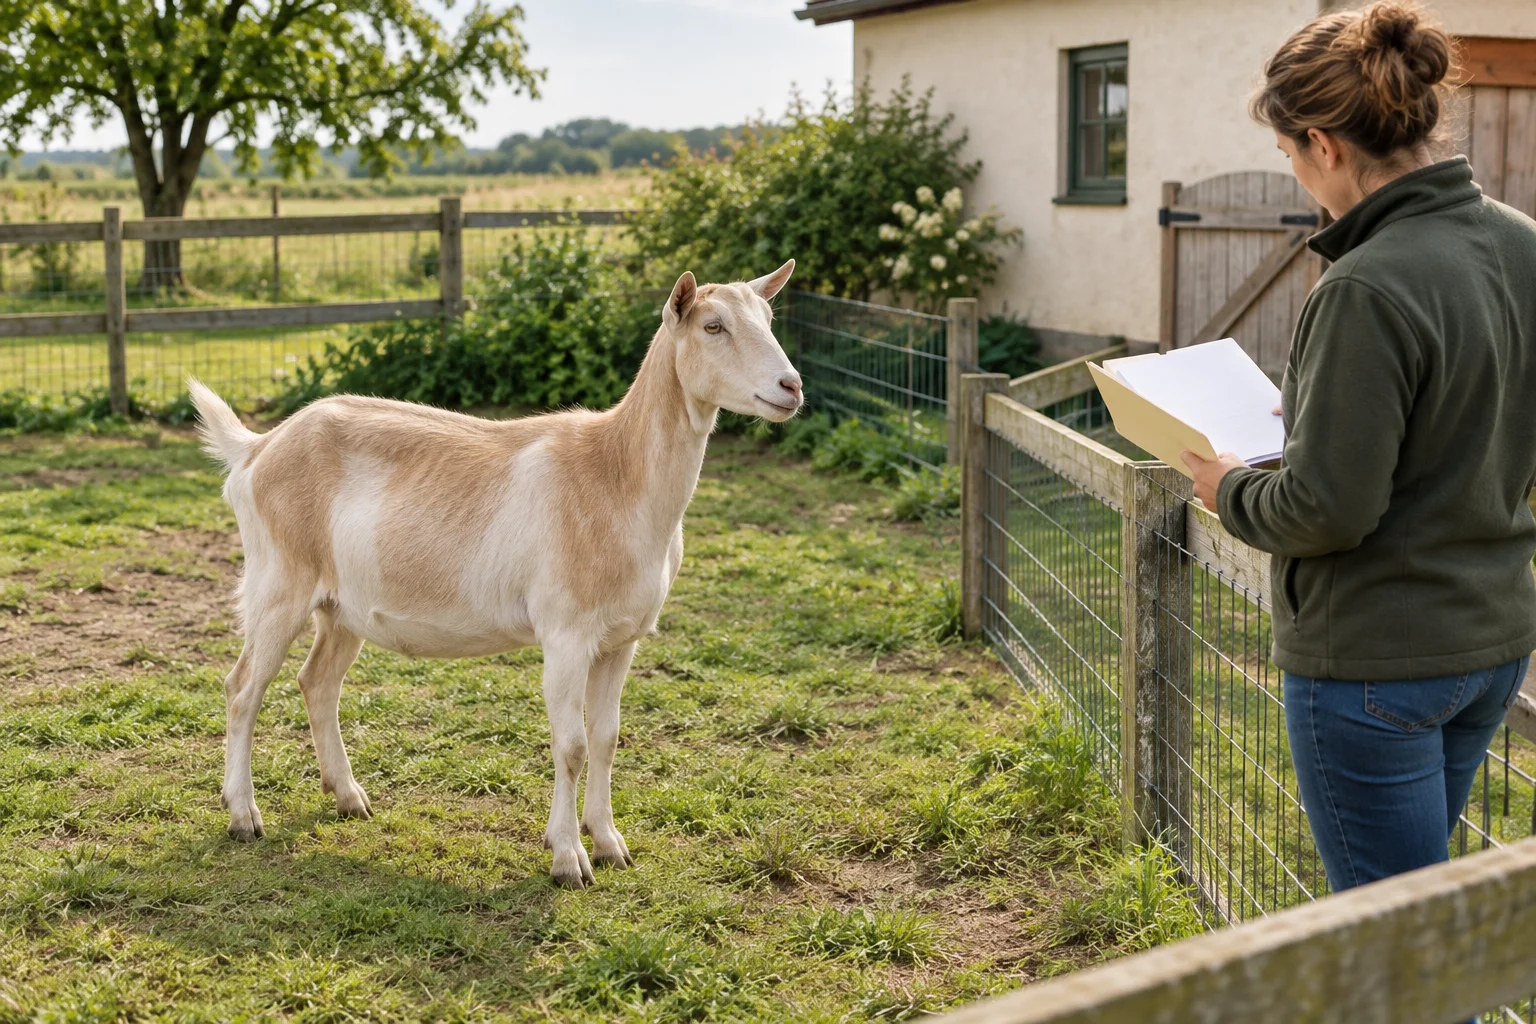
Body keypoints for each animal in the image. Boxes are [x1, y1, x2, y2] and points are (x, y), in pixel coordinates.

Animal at [189, 261, 802, 887]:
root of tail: (257, 448)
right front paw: (568, 859)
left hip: (341, 606)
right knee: (242, 689)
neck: (615, 475)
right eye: (712, 325)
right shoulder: (565, 633)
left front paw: (609, 844)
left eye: (769, 317)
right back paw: (243, 815)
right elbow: (571, 746)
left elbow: (606, 739)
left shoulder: (620, 638)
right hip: (277, 582)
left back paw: (348, 797)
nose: (791, 386)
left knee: (317, 682)